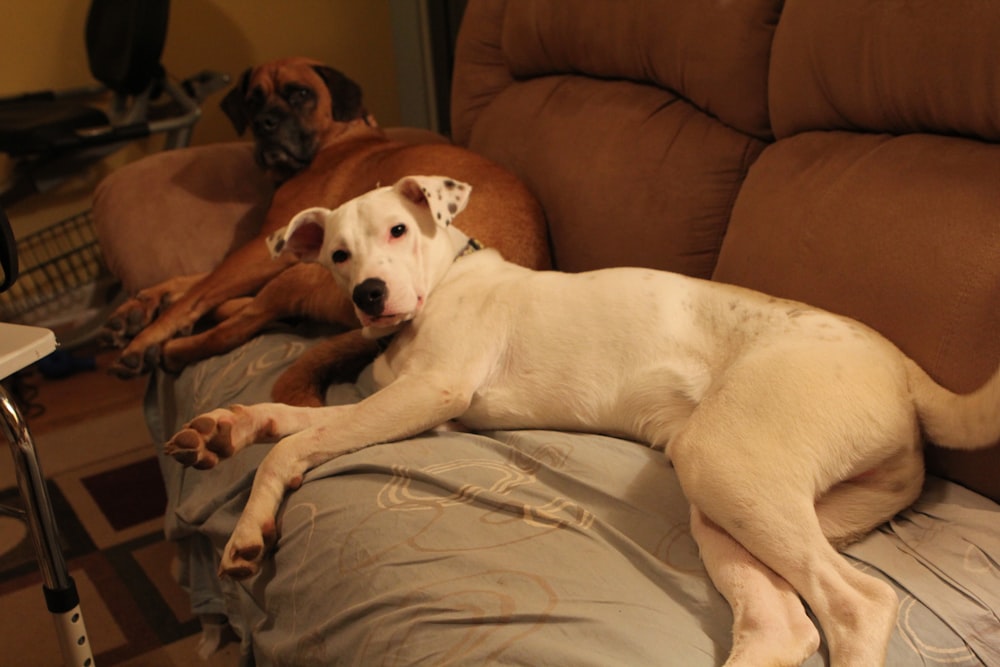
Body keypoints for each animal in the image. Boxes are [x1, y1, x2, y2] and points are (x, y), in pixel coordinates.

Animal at [103, 58, 548, 402]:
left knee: (240, 324)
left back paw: (178, 347)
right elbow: (194, 280)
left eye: (300, 93)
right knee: (254, 310)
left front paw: (146, 339)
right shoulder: (263, 251)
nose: (264, 124)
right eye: (253, 99)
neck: (337, 138)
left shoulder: (263, 249)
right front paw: (139, 306)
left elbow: (197, 293)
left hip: (300, 275)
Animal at [166, 175, 1000, 664]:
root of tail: (907, 372)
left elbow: (300, 440)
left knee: (857, 602)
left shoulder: (429, 394)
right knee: (783, 621)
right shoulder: (390, 397)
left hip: (726, 459)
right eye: (337, 254)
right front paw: (223, 426)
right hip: (736, 497)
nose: (370, 294)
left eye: (399, 232)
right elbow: (286, 417)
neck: (443, 284)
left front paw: (249, 529)